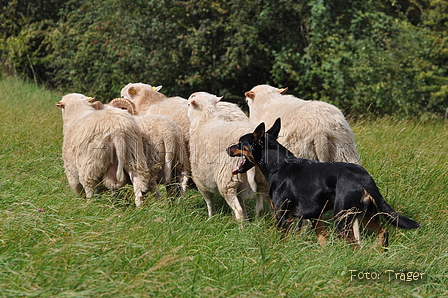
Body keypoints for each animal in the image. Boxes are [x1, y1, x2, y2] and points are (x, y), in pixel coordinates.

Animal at [186, 91, 266, 221]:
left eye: (188, 104)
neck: (206, 119)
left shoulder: (200, 181)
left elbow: (209, 202)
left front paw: (210, 218)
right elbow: (242, 203)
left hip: (227, 180)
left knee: (238, 210)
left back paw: (240, 226)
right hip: (261, 179)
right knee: (260, 209)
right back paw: (257, 224)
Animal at [228, 117, 420, 248]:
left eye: (239, 143)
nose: (227, 148)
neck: (279, 164)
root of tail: (364, 177)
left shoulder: (282, 216)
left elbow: (281, 240)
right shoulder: (315, 217)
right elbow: (323, 242)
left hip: (342, 217)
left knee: (355, 245)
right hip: (366, 215)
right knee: (383, 233)